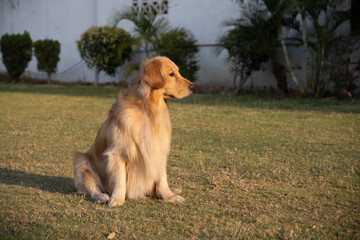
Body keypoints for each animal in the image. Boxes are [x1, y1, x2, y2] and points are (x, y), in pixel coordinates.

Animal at [73, 55, 194, 206]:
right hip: (81, 162)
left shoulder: (158, 149)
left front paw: (169, 196)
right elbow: (119, 179)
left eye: (178, 72)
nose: (193, 86)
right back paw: (102, 196)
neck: (147, 109)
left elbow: (162, 179)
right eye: (171, 74)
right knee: (93, 188)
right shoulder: (118, 152)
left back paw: (173, 190)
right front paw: (117, 199)